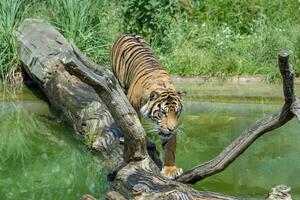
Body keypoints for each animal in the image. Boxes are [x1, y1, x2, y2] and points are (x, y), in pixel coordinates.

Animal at [109, 34, 185, 180]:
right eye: (163, 113)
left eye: (176, 113)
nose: (172, 128)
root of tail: (127, 33)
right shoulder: (132, 106)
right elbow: (134, 126)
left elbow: (170, 148)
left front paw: (170, 170)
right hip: (120, 82)